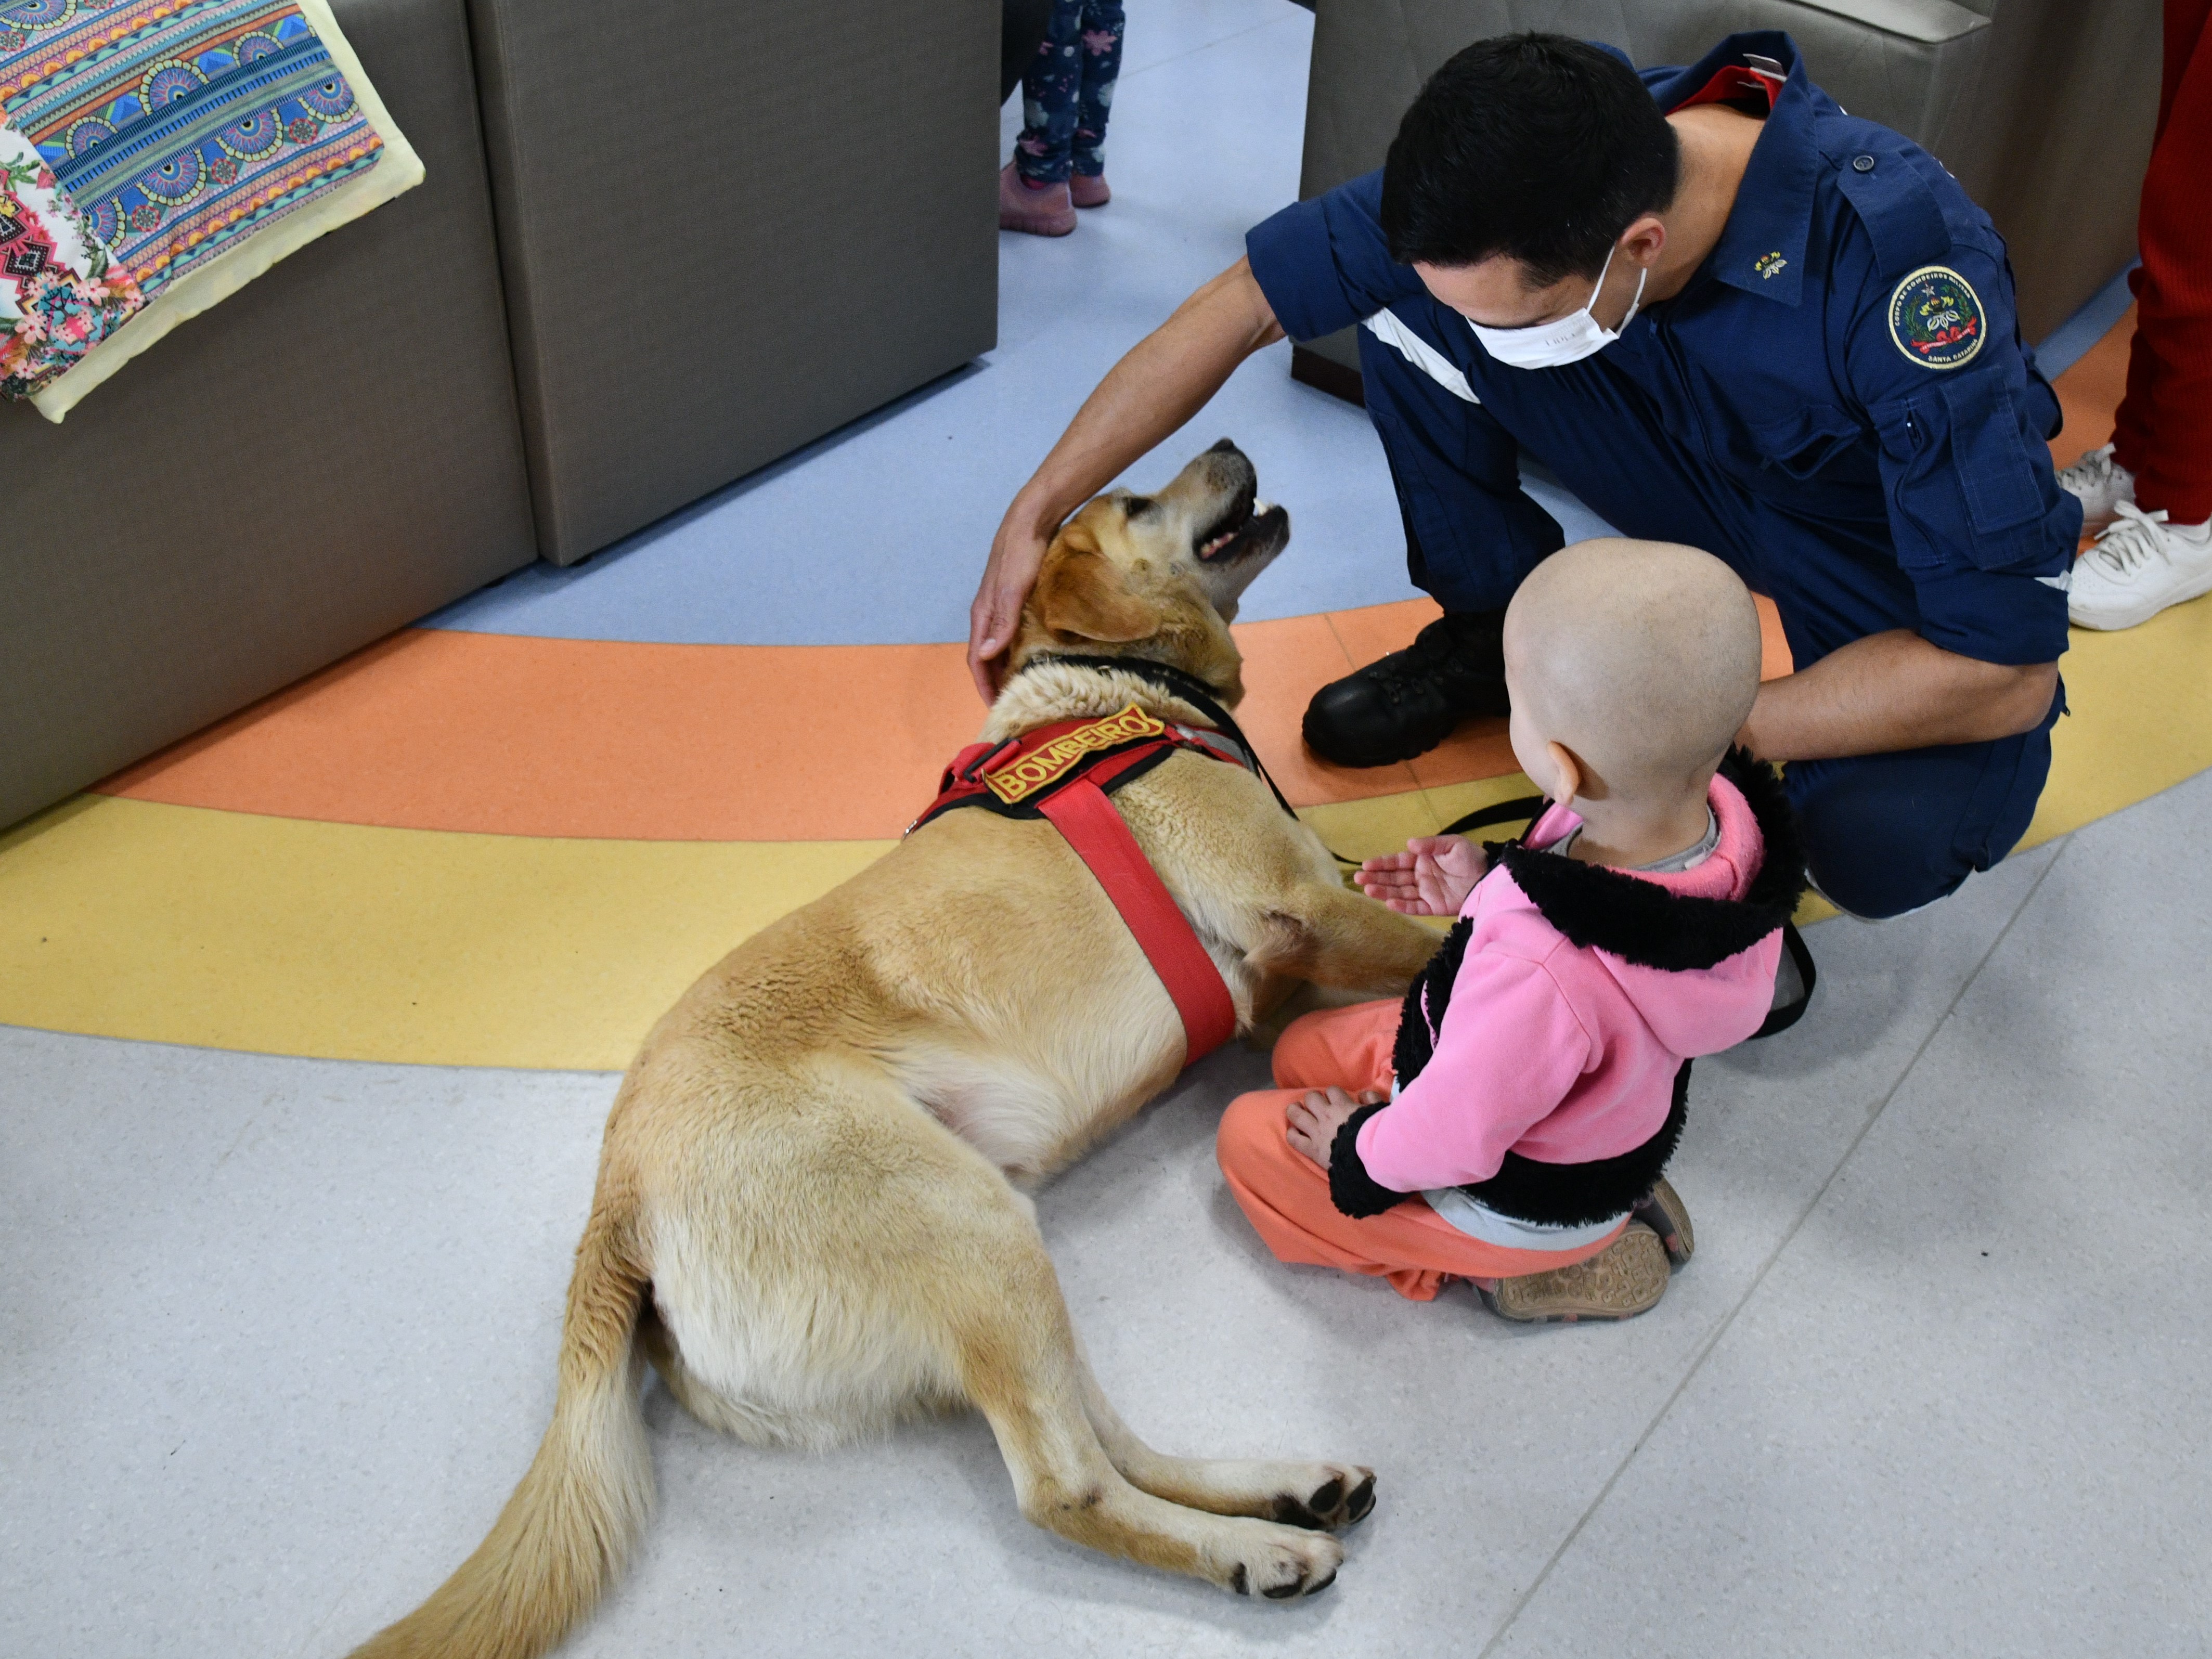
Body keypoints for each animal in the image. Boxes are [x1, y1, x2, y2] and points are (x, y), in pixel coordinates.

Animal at [349, 442, 1433, 1659]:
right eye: (1138, 499)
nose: (1233, 446)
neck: (1122, 692)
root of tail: (617, 1194)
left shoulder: (1296, 942)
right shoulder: (1295, 904)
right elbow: (1440, 930)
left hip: (1001, 1257)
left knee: (1107, 1444)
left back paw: (1282, 1494)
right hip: (973, 1229)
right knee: (1064, 1487)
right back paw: (1258, 1550)